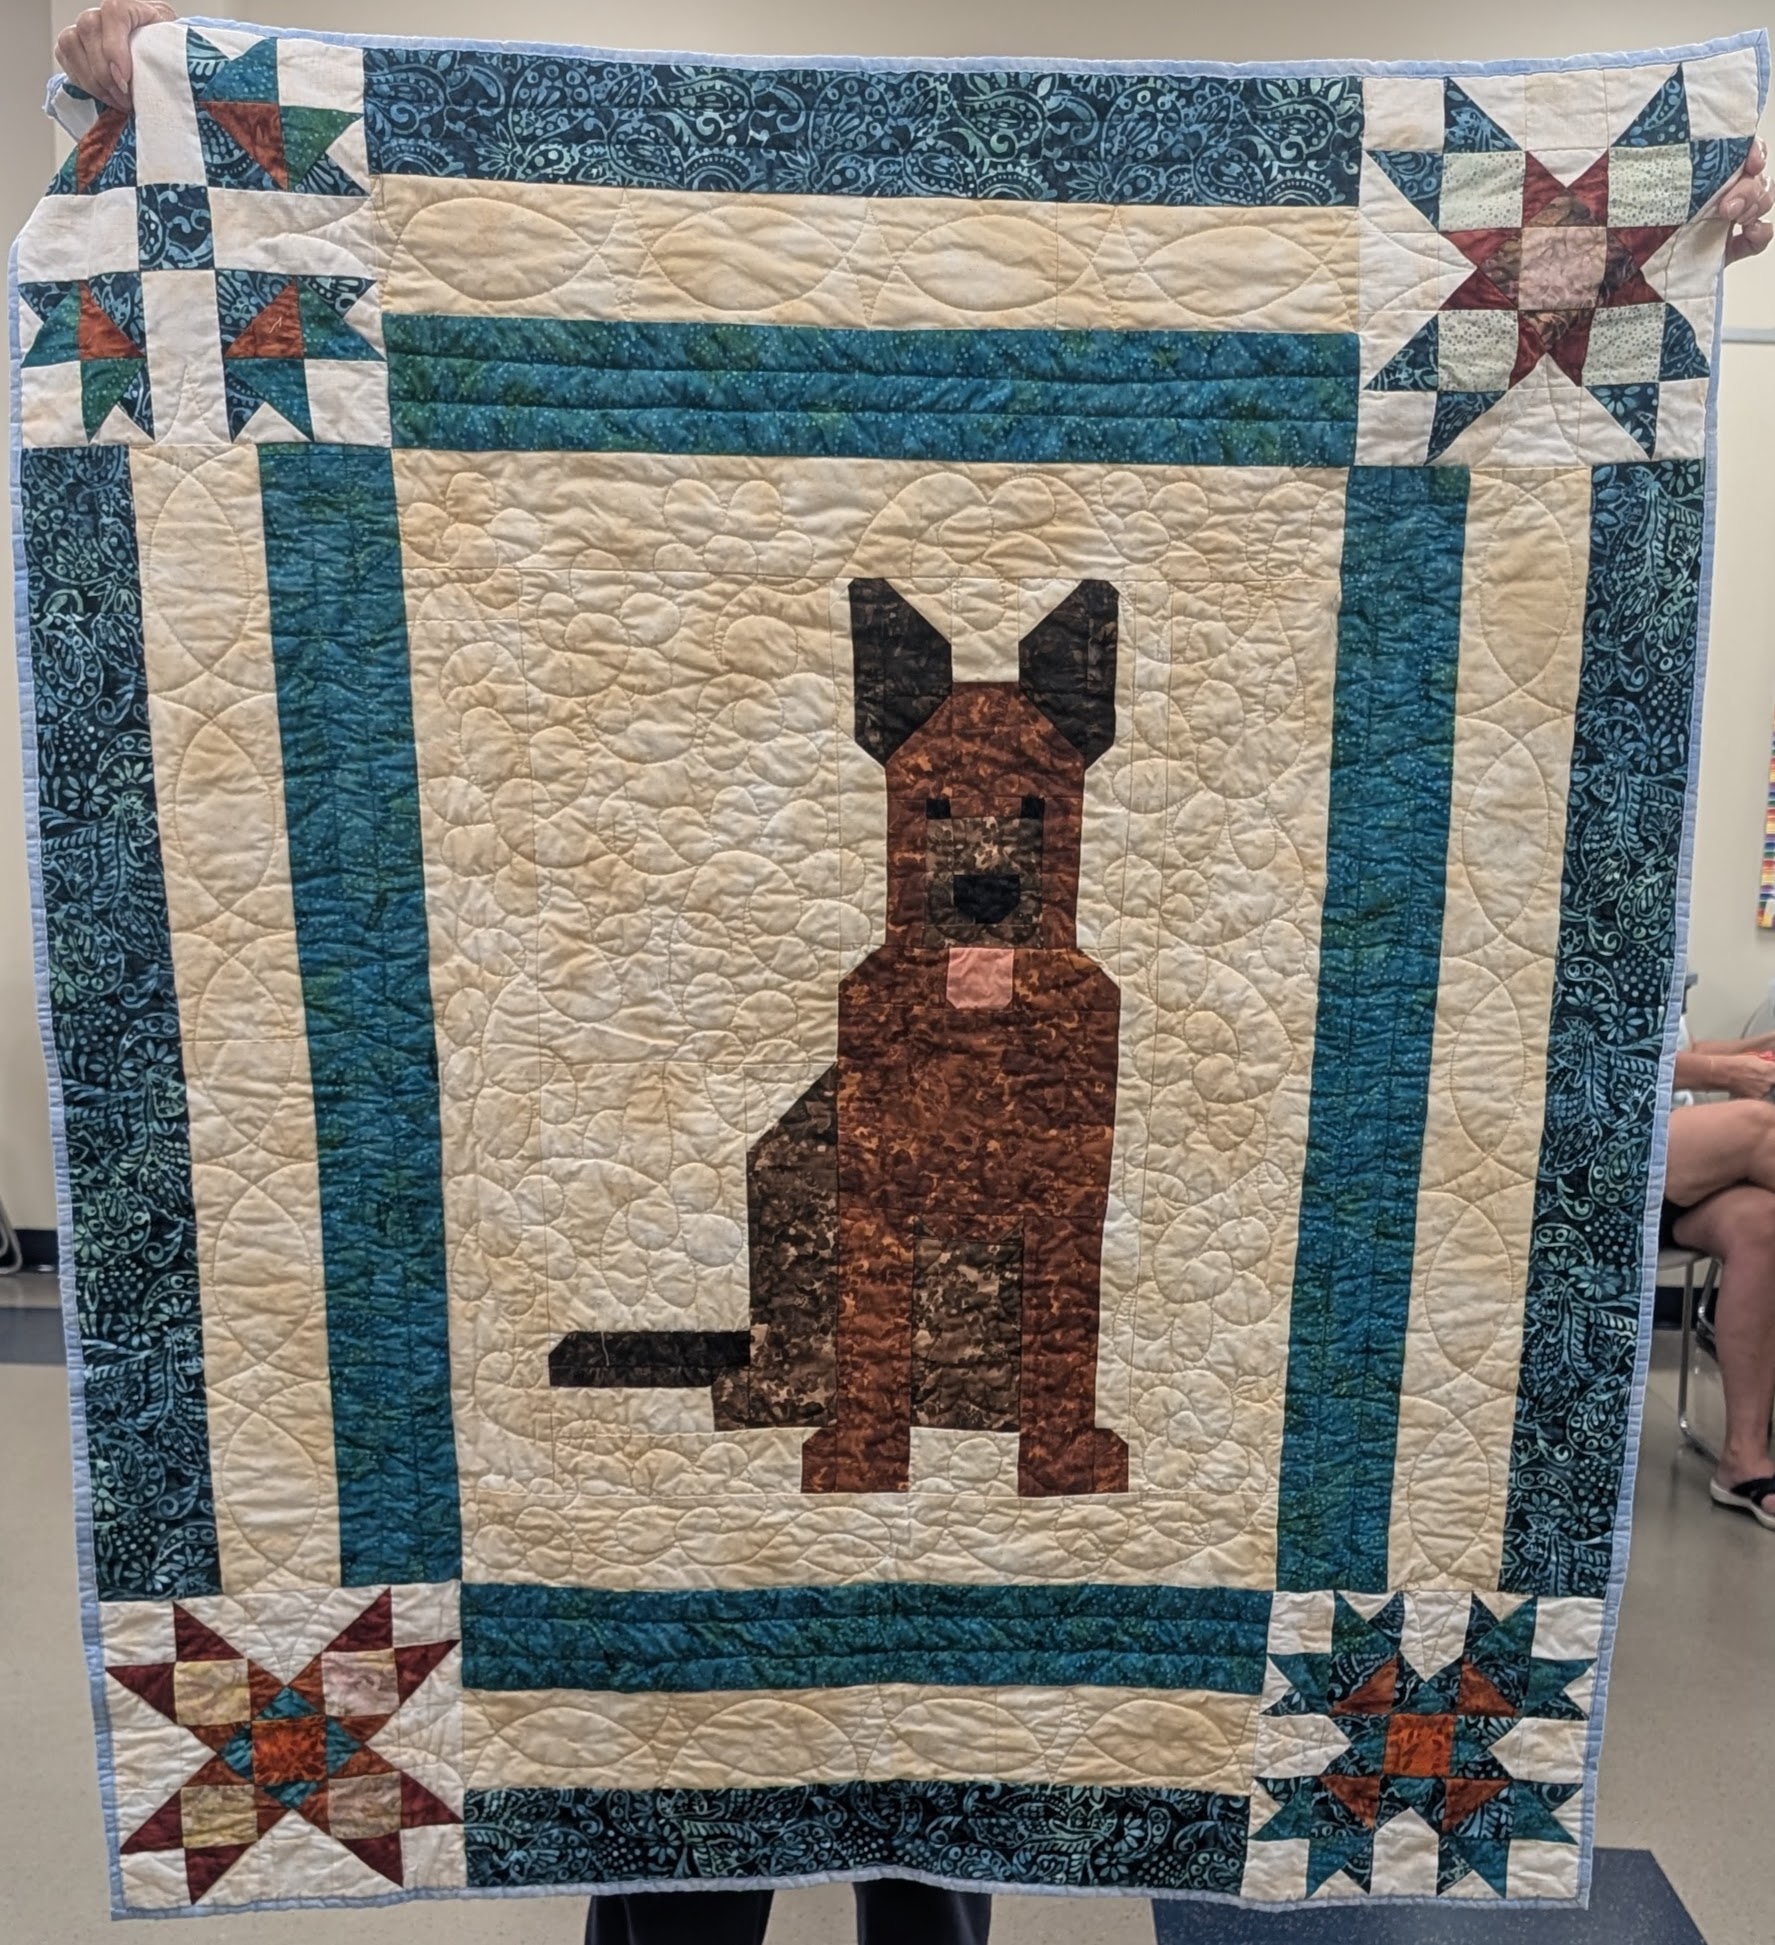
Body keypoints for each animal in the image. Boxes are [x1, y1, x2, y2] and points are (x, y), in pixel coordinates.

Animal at [551, 578, 1127, 1498]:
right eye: (932, 803)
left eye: (1037, 805)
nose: (986, 892)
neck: (978, 1019)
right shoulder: (871, 1201)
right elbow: (874, 1341)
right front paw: (861, 1462)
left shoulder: (1067, 1206)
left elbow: (1062, 1347)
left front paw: (1061, 1466)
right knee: (774, 1368)